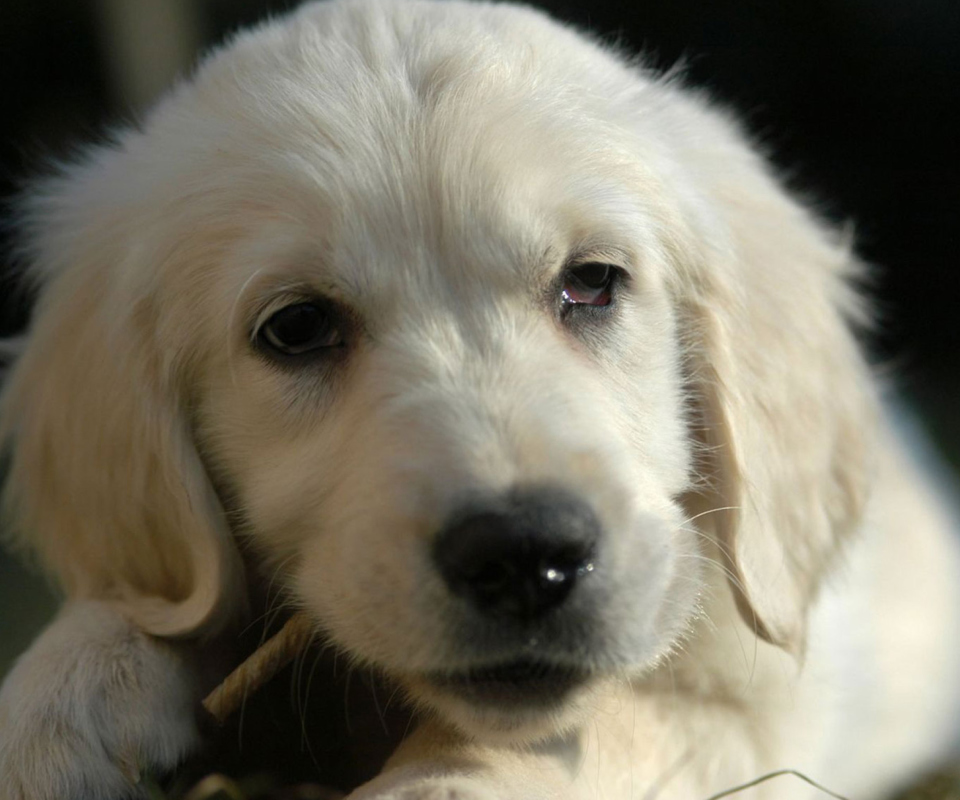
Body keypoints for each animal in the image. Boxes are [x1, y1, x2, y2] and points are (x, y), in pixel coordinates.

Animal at [1, 1, 960, 800]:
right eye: (298, 327)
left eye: (592, 281)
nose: (523, 555)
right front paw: (57, 702)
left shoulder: (757, 702)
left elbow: (618, 718)